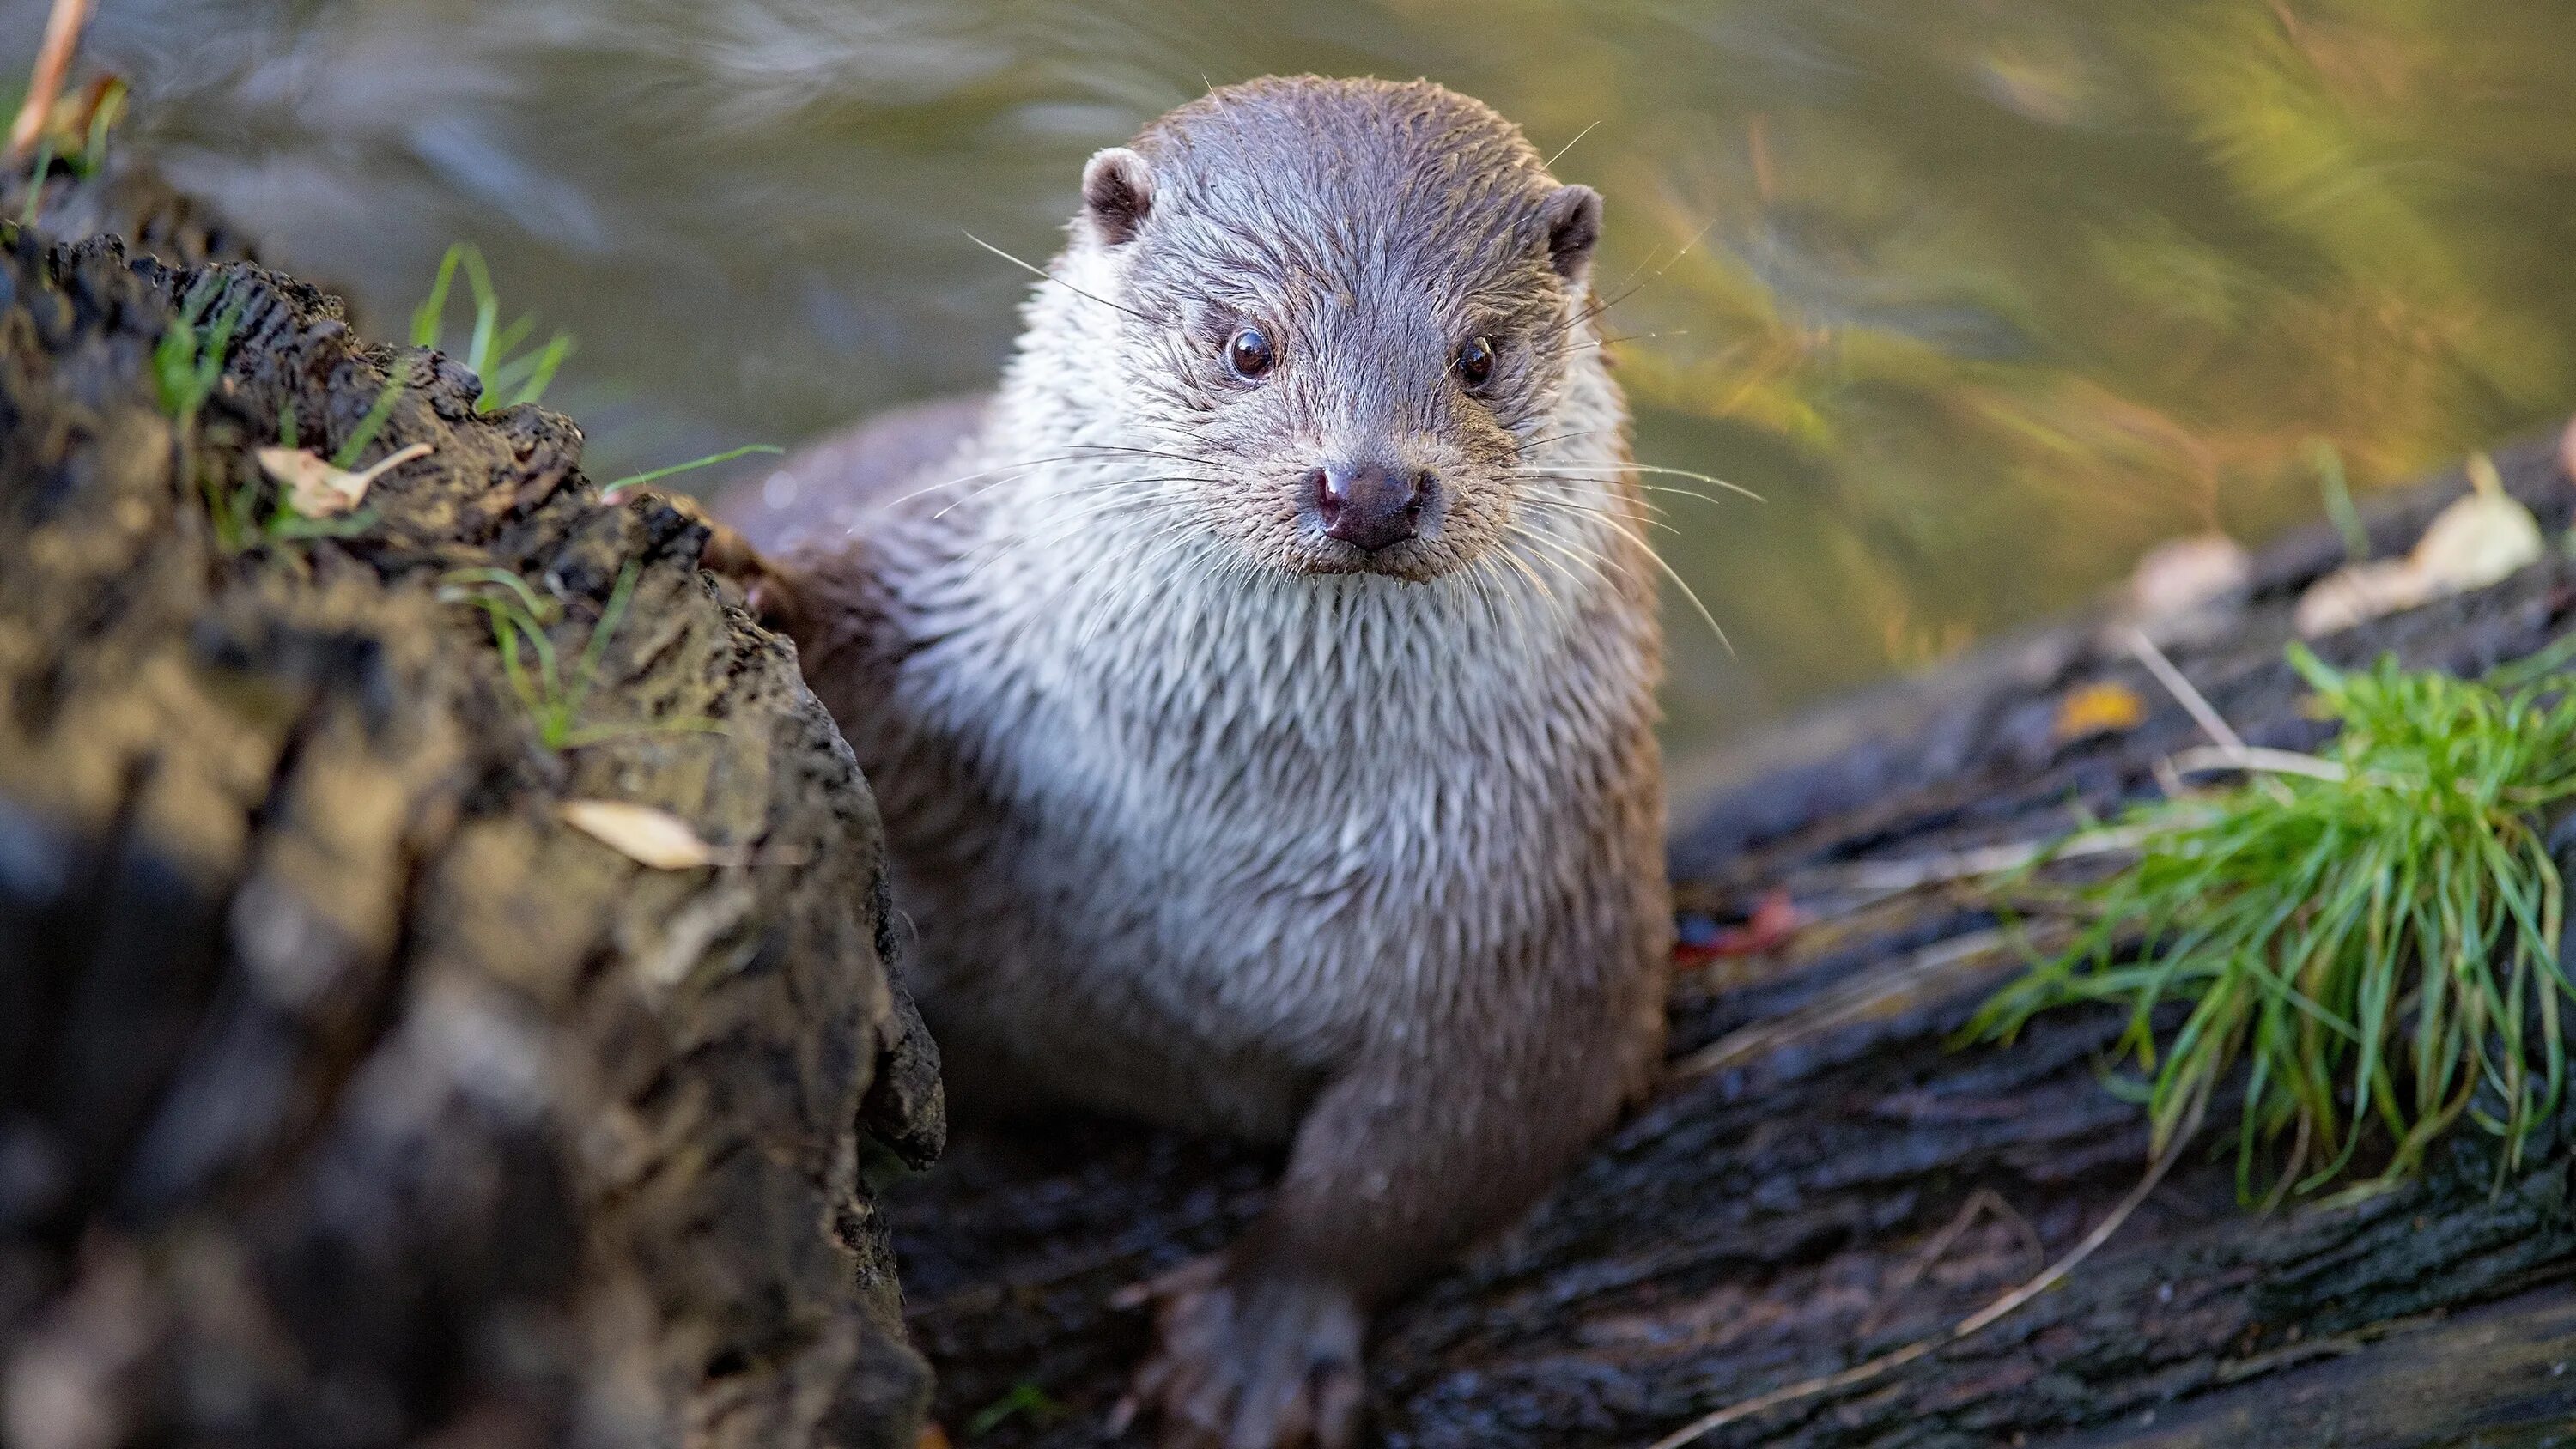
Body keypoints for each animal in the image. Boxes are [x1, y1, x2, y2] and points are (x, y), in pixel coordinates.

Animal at [716, 76, 1669, 1449]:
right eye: (1248, 346)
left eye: (1480, 358)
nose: (1368, 486)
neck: (1218, 827)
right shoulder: (951, 622)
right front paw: (757, 590)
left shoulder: (1542, 915)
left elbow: (1421, 1157)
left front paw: (1252, 1346)